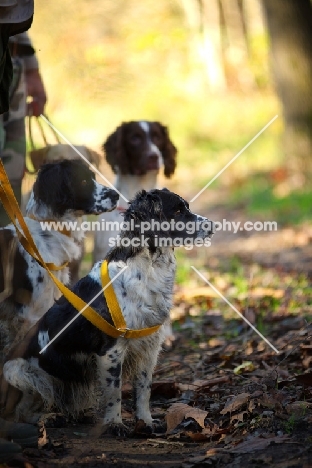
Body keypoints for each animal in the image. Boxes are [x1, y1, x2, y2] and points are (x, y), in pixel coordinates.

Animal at [0, 187, 214, 436]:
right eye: (178, 211)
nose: (212, 225)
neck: (148, 269)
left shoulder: (149, 348)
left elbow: (144, 390)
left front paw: (146, 421)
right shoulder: (111, 349)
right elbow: (114, 391)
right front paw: (115, 423)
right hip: (17, 371)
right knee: (20, 412)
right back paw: (49, 418)